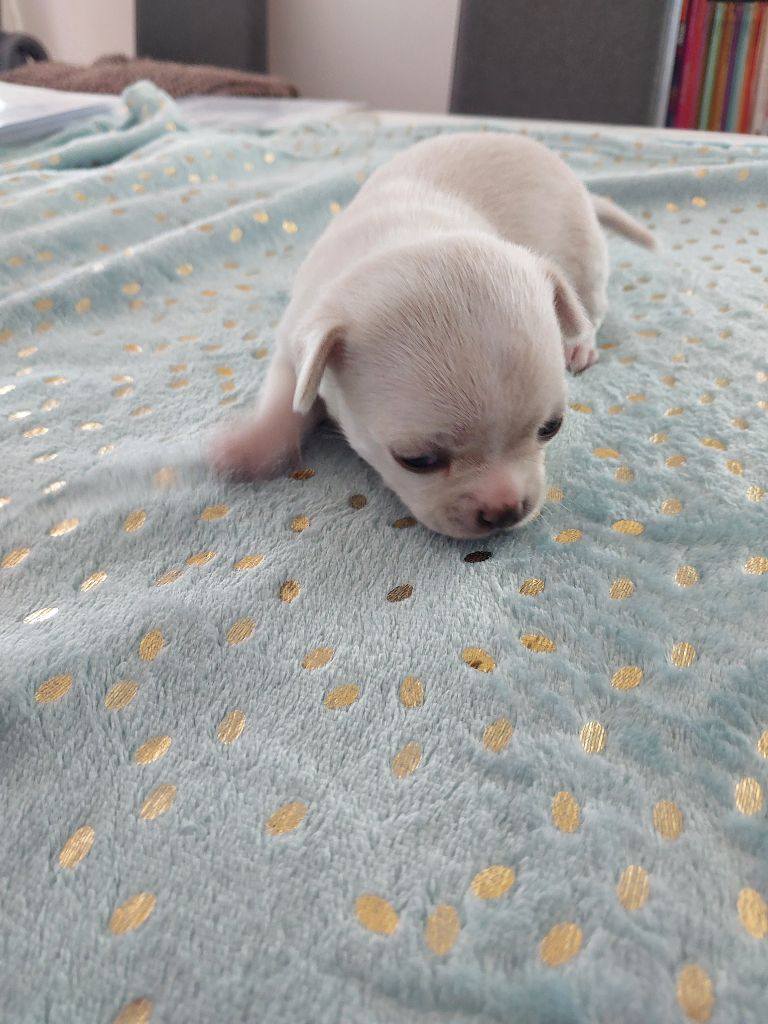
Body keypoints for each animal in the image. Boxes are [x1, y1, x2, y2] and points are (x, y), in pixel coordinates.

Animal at [212, 132, 654, 538]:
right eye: (417, 460)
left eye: (552, 428)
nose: (505, 511)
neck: (404, 237)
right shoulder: (296, 341)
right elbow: (284, 400)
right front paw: (251, 445)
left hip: (583, 256)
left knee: (589, 308)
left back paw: (578, 343)